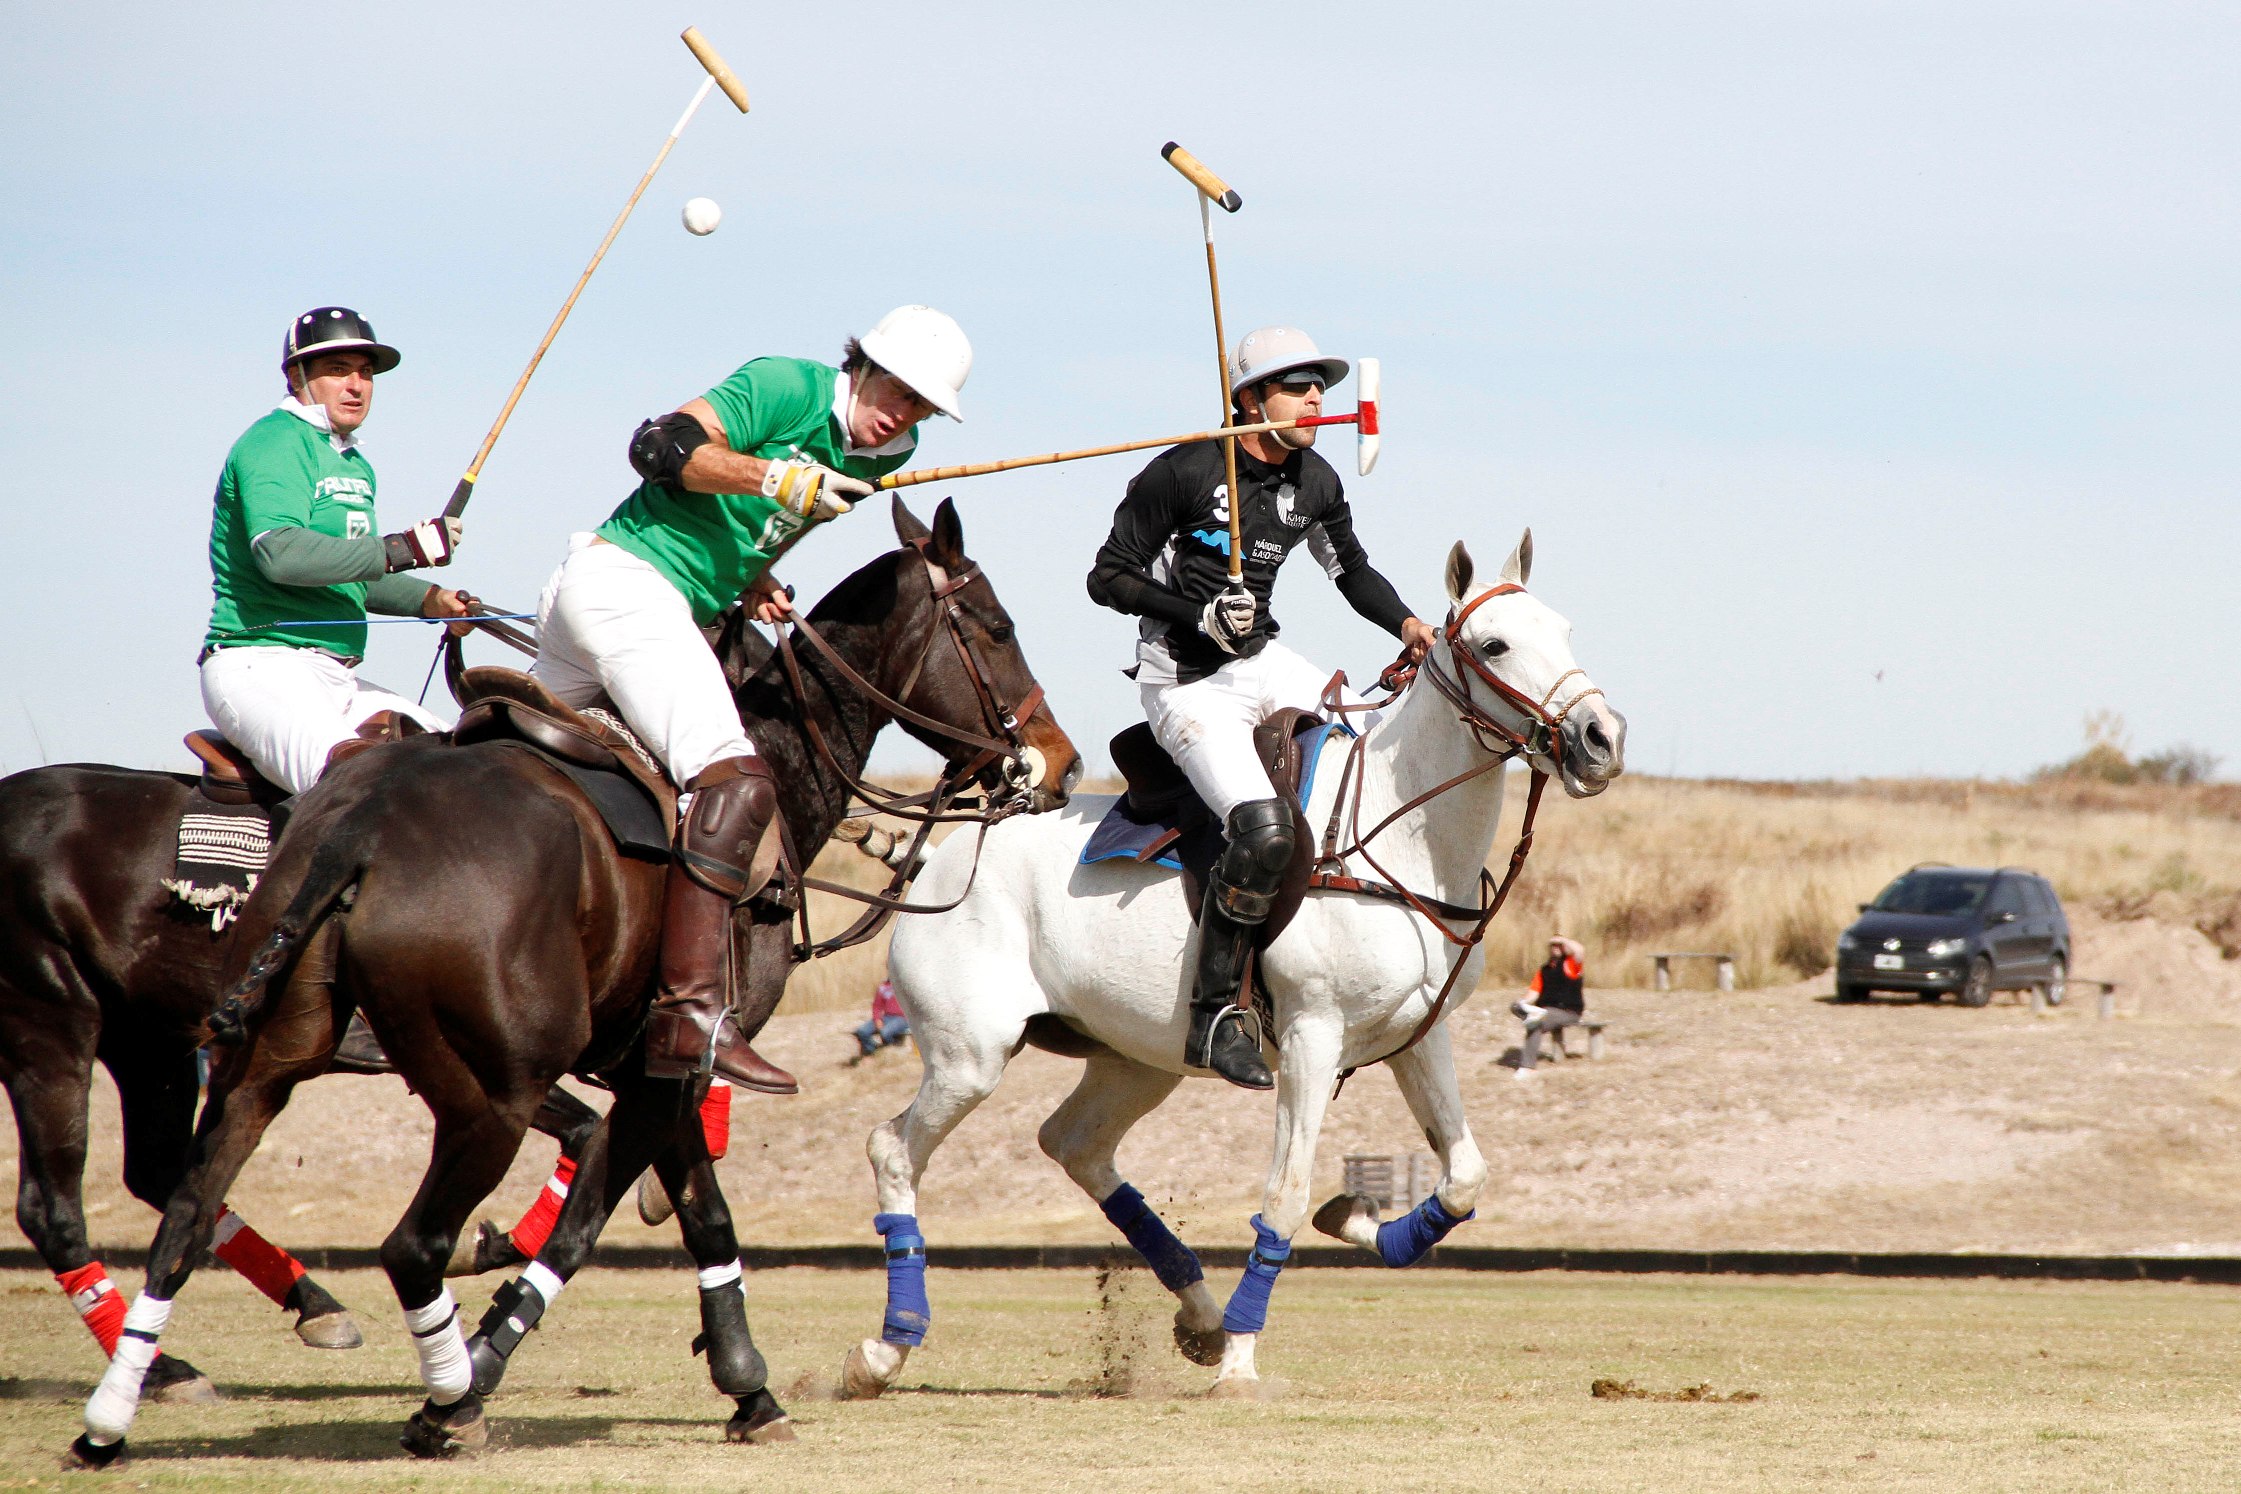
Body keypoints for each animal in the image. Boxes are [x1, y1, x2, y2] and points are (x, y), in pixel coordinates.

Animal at [74, 501, 1071, 1460]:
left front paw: (739, 1382)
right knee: (411, 1245)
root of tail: (358, 826)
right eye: (996, 626)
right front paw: (498, 1368)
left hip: (259, 1064)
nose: (1057, 764)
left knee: (185, 1216)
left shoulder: (654, 1064)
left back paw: (113, 1418)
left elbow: (694, 1215)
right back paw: (447, 1402)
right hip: (490, 1095)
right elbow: (599, 1220)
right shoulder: (671, 1064)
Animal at [842, 530, 1631, 1397]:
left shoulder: (1419, 1037)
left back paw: (1201, 1316)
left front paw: (1358, 1221)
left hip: (1134, 1056)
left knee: (1074, 1143)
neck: (1398, 837)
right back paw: (885, 1347)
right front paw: (1246, 1362)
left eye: (1562, 630)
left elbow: (1463, 1175)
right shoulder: (1313, 1038)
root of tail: (937, 863)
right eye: (1494, 645)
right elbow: (1283, 1195)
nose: (1601, 739)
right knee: (892, 1148)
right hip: (969, 1054)